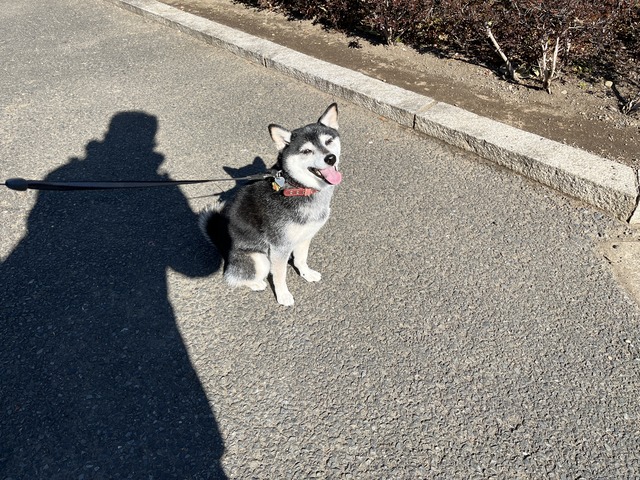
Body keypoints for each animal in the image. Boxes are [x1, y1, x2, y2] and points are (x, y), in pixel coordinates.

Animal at [200, 104, 342, 308]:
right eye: (306, 151)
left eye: (329, 141)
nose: (330, 158)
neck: (297, 187)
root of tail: (225, 249)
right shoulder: (279, 246)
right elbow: (280, 275)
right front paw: (283, 295)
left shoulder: (305, 235)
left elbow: (301, 259)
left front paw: (306, 273)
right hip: (259, 259)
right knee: (233, 277)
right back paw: (256, 283)